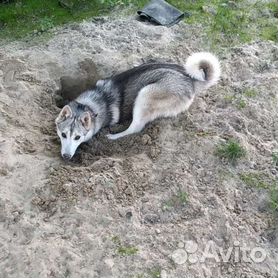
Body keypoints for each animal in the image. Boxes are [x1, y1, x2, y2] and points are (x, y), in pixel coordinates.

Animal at [56, 52, 220, 160]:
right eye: (63, 135)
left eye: (77, 137)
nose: (66, 156)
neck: (88, 106)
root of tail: (190, 80)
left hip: (145, 94)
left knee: (136, 127)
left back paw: (114, 136)